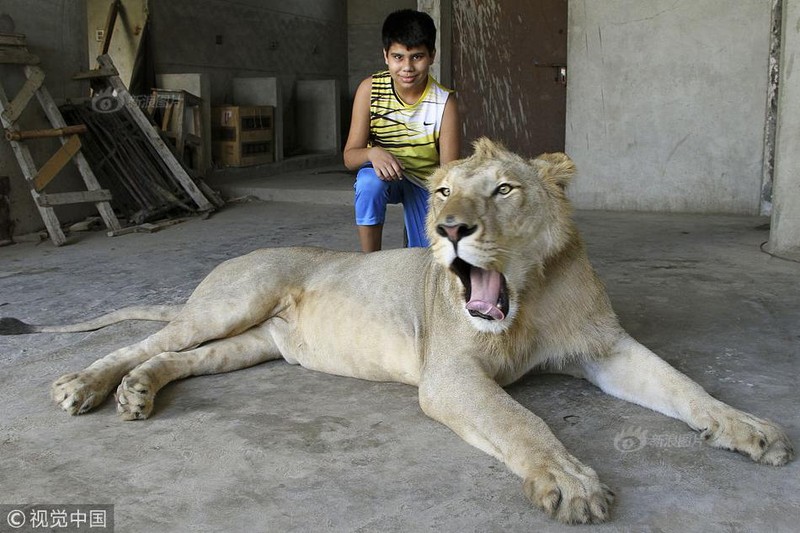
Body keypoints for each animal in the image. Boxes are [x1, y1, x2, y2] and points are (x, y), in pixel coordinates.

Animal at [0, 138, 788, 524]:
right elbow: (522, 421)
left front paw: (751, 428)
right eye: (441, 192)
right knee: (146, 342)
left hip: (253, 342)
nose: (448, 231)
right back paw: (85, 384)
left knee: (181, 360)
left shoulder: (606, 348)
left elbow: (685, 386)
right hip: (232, 301)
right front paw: (569, 482)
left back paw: (136, 393)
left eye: (504, 188)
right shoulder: (449, 374)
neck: (528, 295)